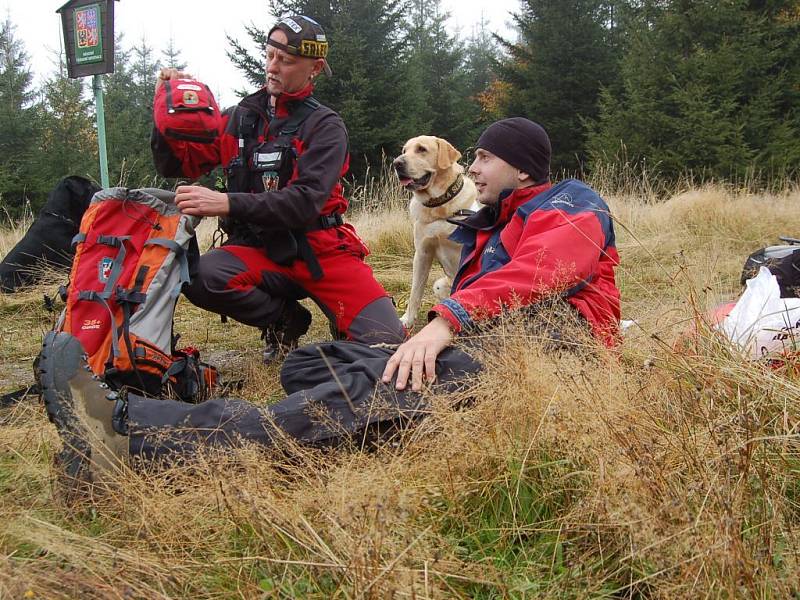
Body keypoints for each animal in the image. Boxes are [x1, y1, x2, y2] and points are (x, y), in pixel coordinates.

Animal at [392, 137, 478, 328]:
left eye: (421, 149)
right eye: (404, 150)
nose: (396, 163)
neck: (439, 205)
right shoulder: (422, 253)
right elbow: (415, 292)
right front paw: (407, 320)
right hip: (438, 285)